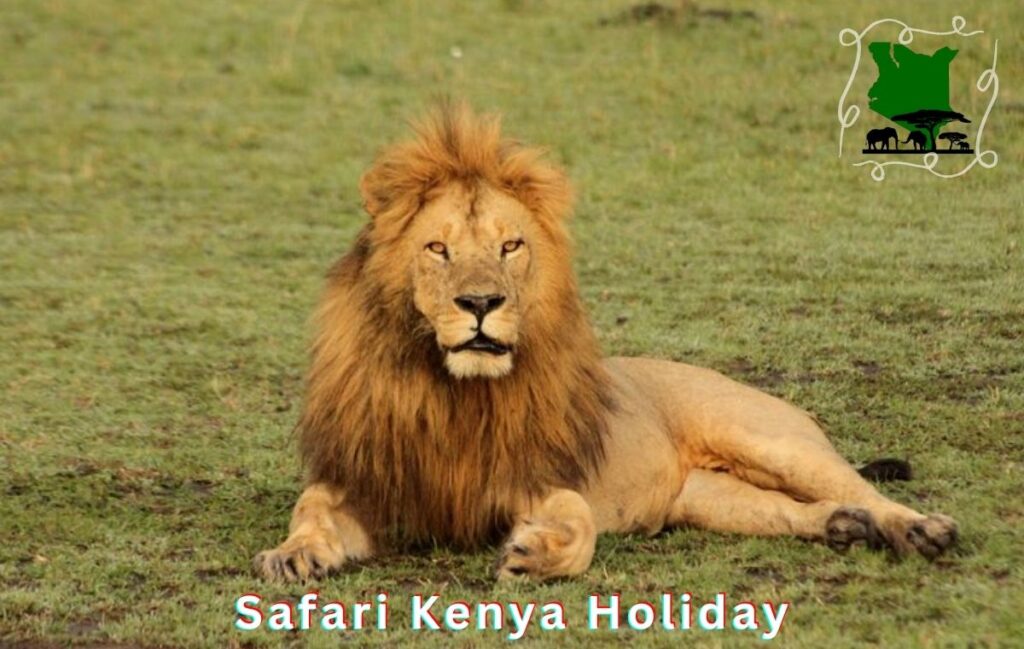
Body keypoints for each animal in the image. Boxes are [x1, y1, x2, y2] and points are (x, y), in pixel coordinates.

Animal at [254, 103, 958, 582]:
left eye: (511, 246)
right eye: (437, 248)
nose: (481, 304)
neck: (452, 394)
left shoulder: (535, 476)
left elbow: (579, 519)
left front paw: (534, 553)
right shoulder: (366, 479)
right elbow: (309, 510)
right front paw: (292, 556)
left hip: (772, 440)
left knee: (859, 486)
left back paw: (921, 530)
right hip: (709, 500)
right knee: (792, 508)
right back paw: (841, 527)